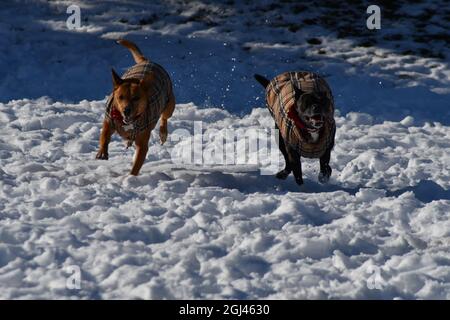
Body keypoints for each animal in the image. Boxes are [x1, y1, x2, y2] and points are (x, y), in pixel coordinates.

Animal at [96, 39, 175, 176]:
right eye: (120, 97)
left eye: (136, 98)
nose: (126, 110)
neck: (128, 122)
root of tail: (146, 60)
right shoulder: (109, 118)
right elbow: (104, 135)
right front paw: (102, 152)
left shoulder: (142, 144)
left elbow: (137, 164)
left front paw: (130, 177)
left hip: (169, 102)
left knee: (165, 116)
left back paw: (163, 132)